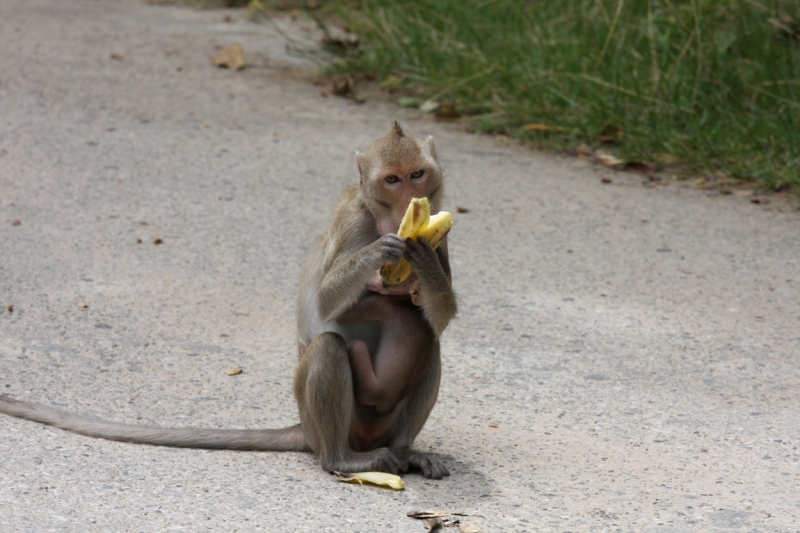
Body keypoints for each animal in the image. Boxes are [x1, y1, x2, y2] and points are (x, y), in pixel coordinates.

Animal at [0, 120, 456, 478]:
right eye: (391, 180)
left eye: (417, 174)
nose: (407, 201)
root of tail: (309, 432)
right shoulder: (352, 221)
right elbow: (327, 302)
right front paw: (382, 250)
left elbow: (442, 314)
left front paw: (425, 263)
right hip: (334, 426)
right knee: (330, 348)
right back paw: (341, 460)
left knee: (430, 341)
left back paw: (406, 452)